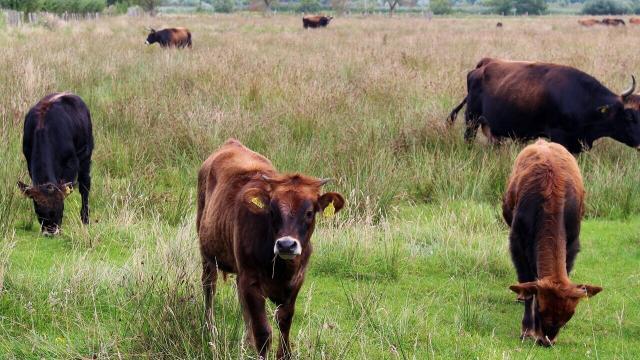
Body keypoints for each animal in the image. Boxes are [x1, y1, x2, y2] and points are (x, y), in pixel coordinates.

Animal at [17, 92, 94, 236]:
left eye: (60, 207)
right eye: (38, 209)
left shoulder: (71, 162)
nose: (50, 232)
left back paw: (85, 219)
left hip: (86, 154)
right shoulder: (29, 160)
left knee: (85, 185)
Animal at [196, 139, 342, 358]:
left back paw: (247, 342)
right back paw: (210, 330)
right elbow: (263, 331)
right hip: (207, 254)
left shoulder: (296, 281)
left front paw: (284, 354)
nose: (286, 244)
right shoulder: (251, 280)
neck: (281, 268)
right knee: (209, 288)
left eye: (309, 212)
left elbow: (285, 322)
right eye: (272, 211)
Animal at [502, 139, 604, 348]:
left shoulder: (572, 243)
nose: (546, 341)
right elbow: (527, 284)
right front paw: (527, 329)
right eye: (541, 310)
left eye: (569, 315)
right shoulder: (516, 242)